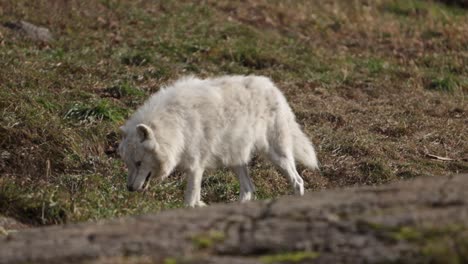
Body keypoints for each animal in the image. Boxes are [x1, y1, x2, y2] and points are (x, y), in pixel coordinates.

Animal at [119, 75, 320, 207]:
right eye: (129, 164)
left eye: (139, 163)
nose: (128, 188)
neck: (176, 123)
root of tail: (274, 88)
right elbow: (196, 199)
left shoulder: (195, 166)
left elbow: (189, 201)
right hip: (235, 159)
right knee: (249, 189)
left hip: (278, 156)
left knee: (298, 181)